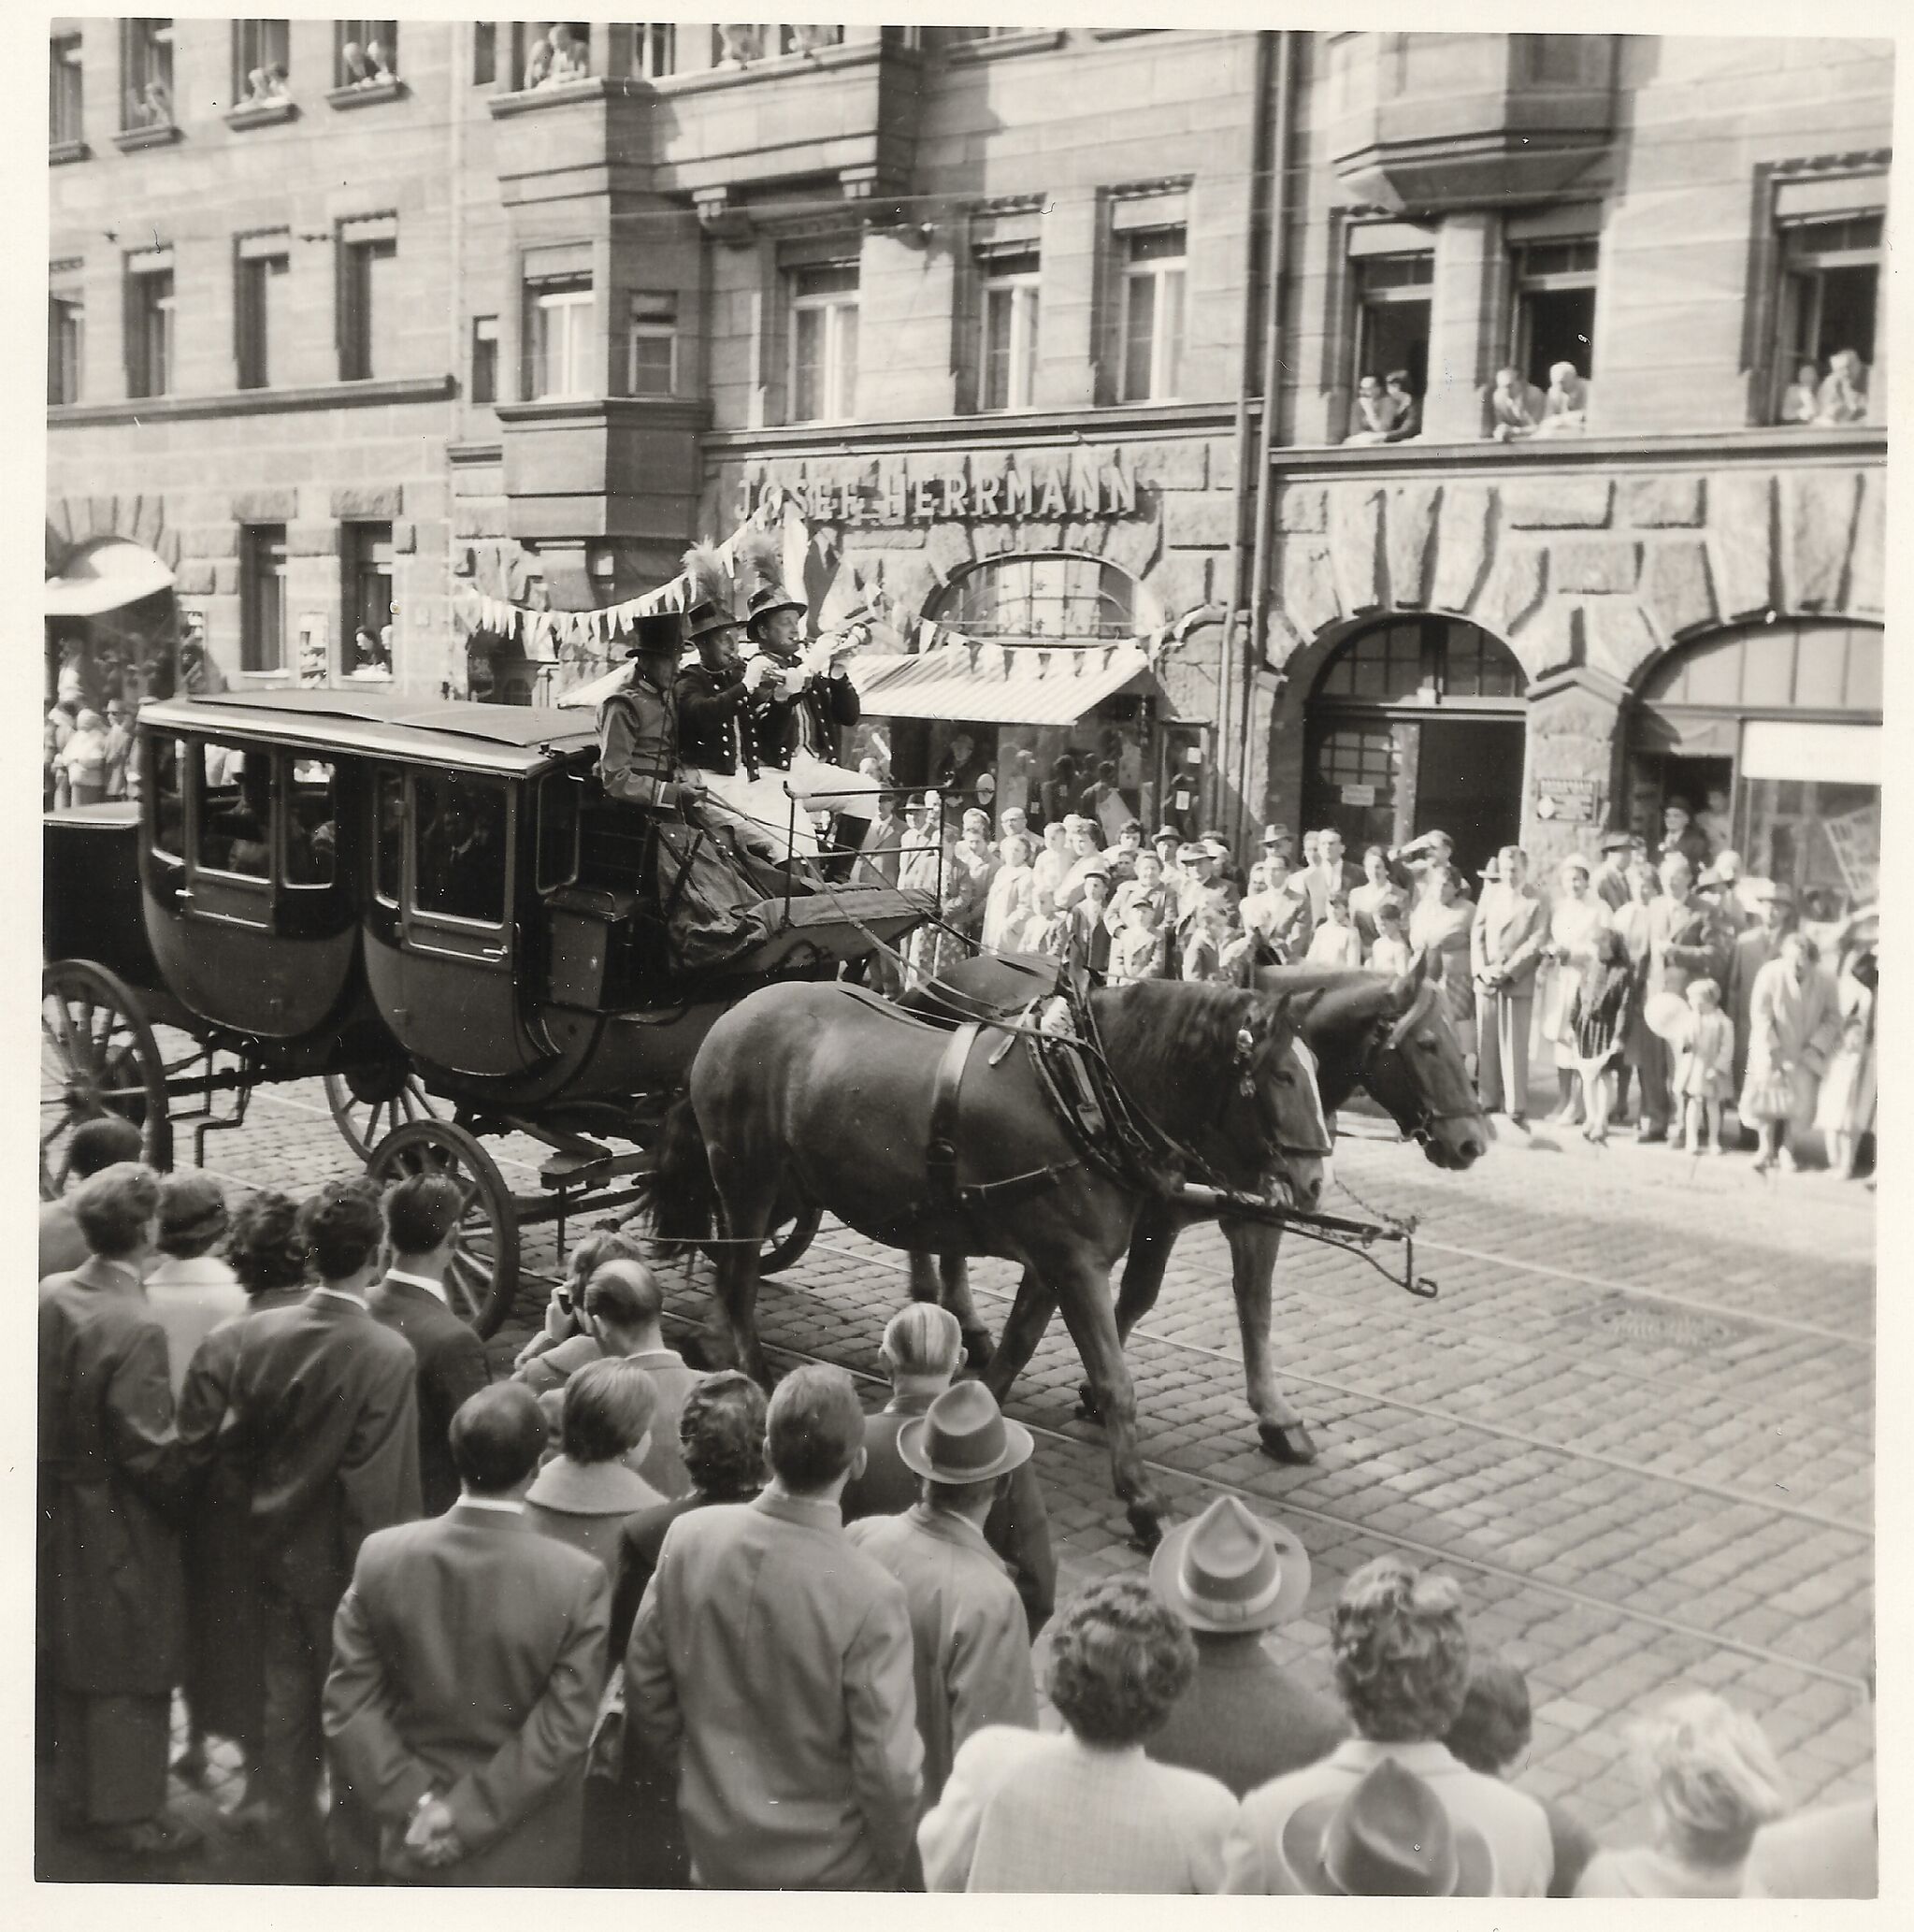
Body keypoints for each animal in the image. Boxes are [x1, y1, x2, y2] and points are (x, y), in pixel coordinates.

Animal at [651, 976, 1334, 1546]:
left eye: (1317, 1070)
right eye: (1281, 1075)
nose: (1312, 1183)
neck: (1081, 1097)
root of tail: (734, 1012)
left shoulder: (1052, 1262)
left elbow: (1015, 1350)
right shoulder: (1076, 1264)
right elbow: (1116, 1382)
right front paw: (1143, 1502)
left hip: (791, 1185)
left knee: (729, 1268)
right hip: (748, 1177)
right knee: (738, 1281)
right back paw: (753, 1377)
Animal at [901, 951, 1490, 1462]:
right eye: (1429, 1043)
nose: (1472, 1142)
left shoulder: (1259, 1213)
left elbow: (1255, 1305)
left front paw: (1275, 1415)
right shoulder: (1160, 1211)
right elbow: (1139, 1295)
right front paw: (1096, 1388)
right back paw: (939, 1302)